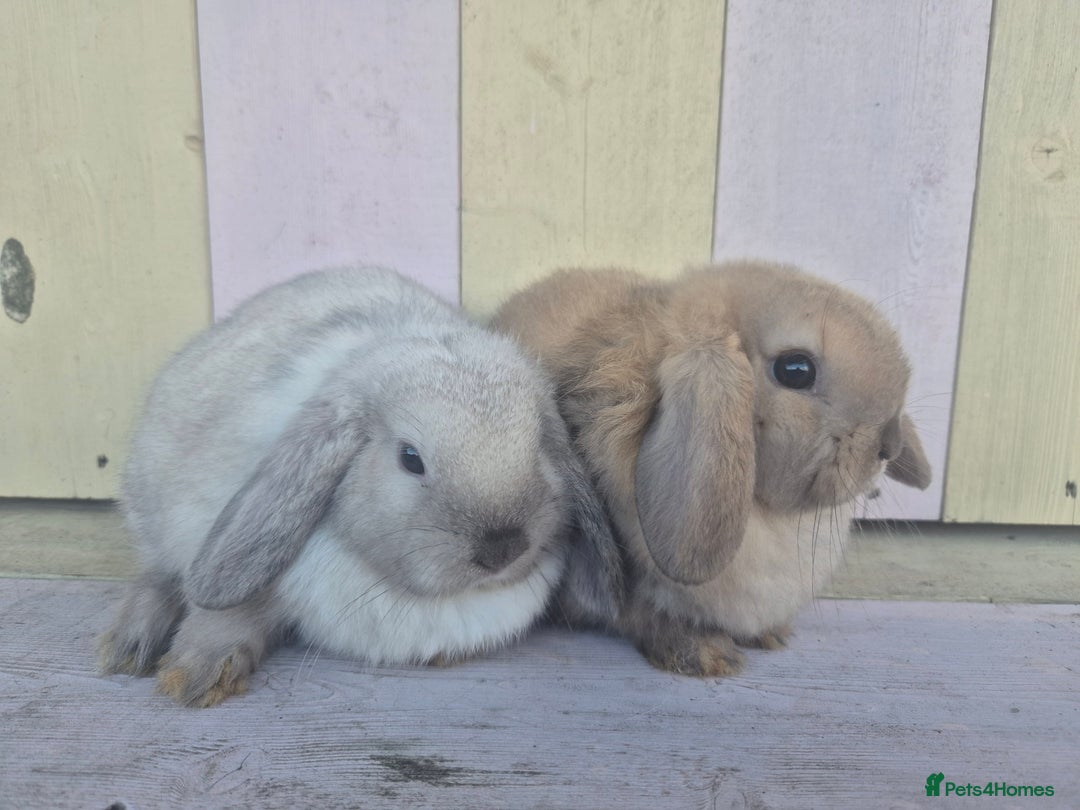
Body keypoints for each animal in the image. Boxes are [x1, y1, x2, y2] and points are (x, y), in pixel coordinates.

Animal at [99, 266, 617, 706]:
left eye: (538, 443)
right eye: (410, 458)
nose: (502, 548)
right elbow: (227, 615)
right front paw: (194, 677)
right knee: (158, 576)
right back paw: (128, 646)